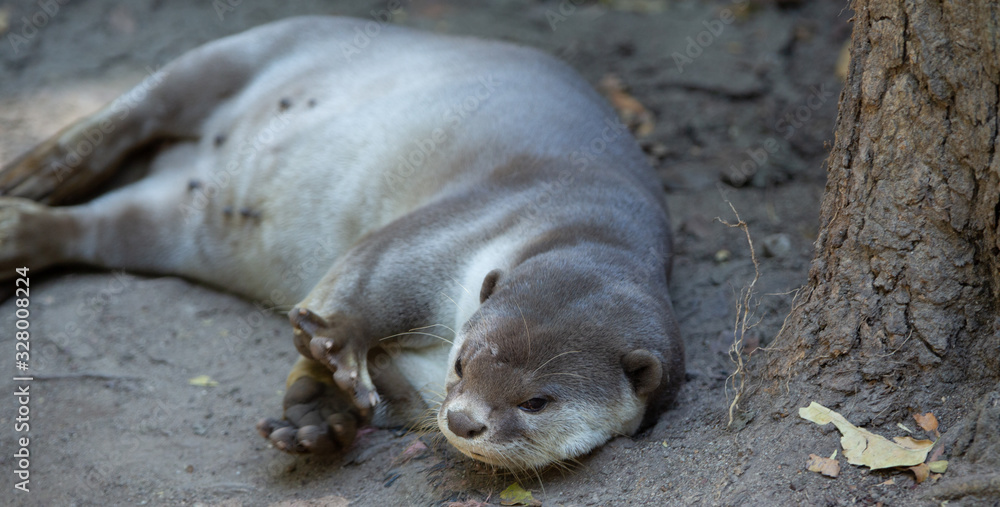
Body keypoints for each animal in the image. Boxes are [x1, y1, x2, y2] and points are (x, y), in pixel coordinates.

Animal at [0, 16, 683, 471]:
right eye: (464, 363)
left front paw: (317, 420)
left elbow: (382, 384)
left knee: (102, 224)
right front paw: (335, 352)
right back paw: (32, 174)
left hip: (173, 222)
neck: (579, 217)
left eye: (537, 401)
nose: (463, 419)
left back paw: (18, 235)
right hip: (250, 47)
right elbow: (368, 277)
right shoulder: (462, 223)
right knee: (132, 111)